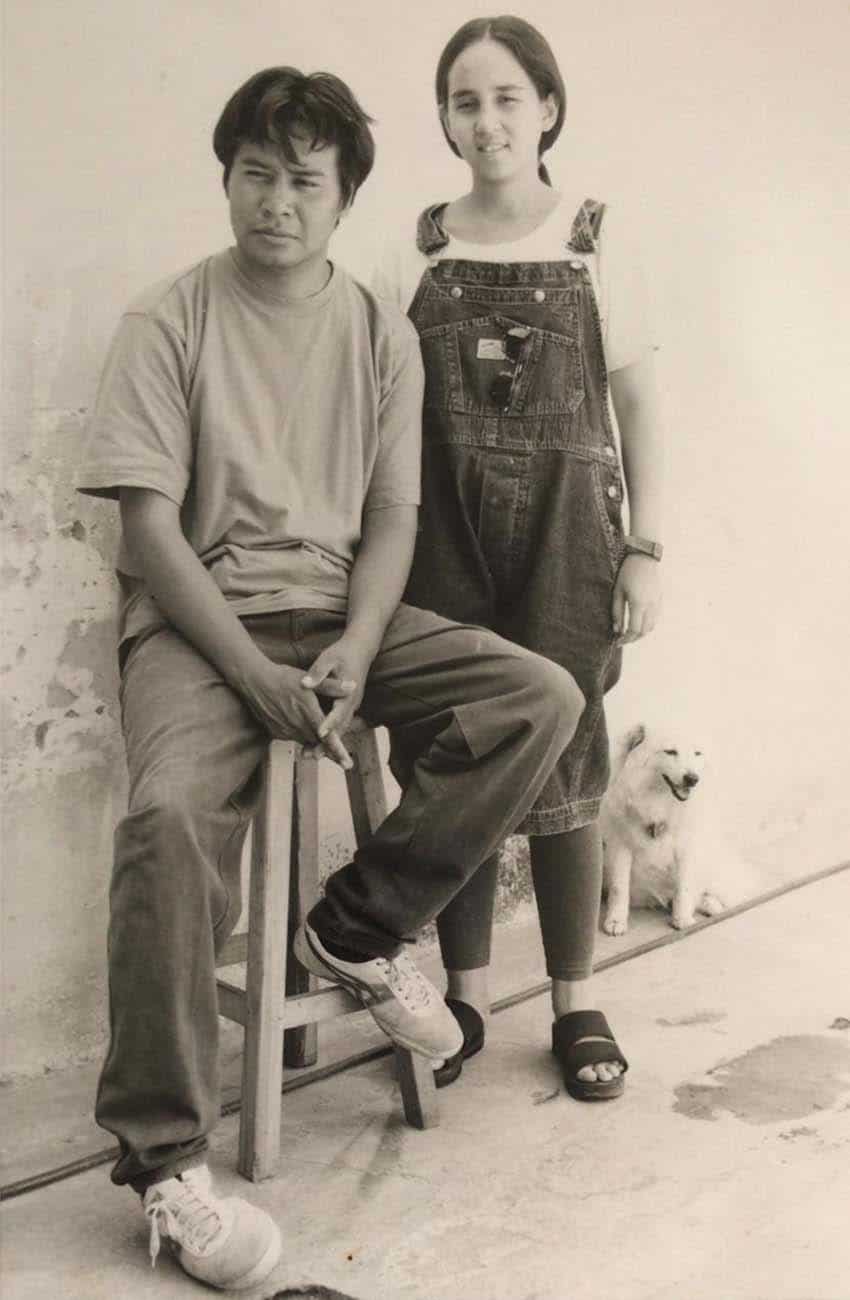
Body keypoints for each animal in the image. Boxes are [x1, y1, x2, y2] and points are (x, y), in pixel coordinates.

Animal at [600, 728, 753, 930]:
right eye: (670, 752)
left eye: (697, 753)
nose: (692, 779)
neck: (658, 803)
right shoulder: (620, 847)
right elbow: (619, 888)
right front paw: (616, 921)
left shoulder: (685, 849)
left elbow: (684, 887)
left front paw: (682, 920)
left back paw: (713, 907)